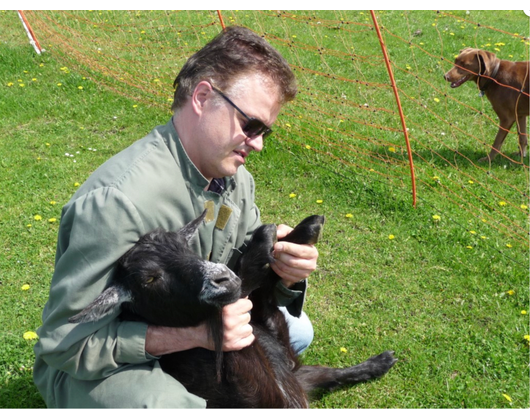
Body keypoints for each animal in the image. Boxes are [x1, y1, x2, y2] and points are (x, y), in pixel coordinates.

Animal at [69, 213, 392, 406]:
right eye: (149, 278)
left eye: (186, 247)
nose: (223, 279)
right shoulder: (266, 395)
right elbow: (251, 280)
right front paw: (266, 238)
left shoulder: (292, 368)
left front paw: (302, 230)